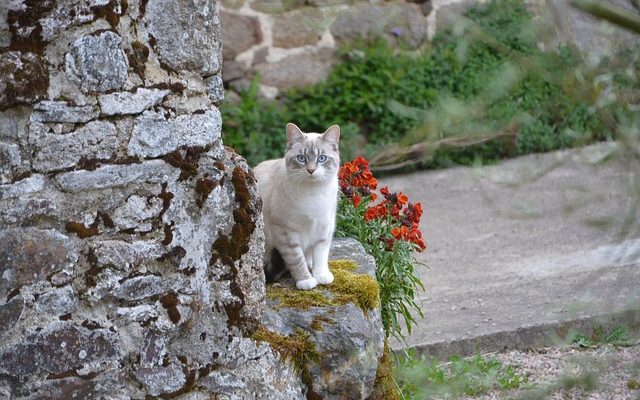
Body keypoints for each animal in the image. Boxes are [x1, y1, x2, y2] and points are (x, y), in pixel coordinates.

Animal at [252, 122, 340, 290]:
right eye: (301, 158)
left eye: (321, 158)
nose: (311, 170)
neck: (313, 193)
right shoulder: (286, 233)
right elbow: (296, 259)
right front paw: (306, 281)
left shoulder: (324, 227)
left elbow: (321, 255)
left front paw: (321, 276)